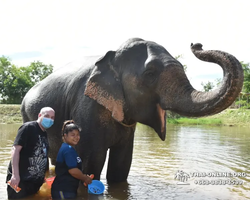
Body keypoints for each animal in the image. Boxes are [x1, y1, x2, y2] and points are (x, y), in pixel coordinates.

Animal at [20, 38, 243, 183]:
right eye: (150, 74)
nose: (196, 44)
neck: (110, 58)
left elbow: (121, 165)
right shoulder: (86, 107)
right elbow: (91, 163)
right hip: (26, 114)